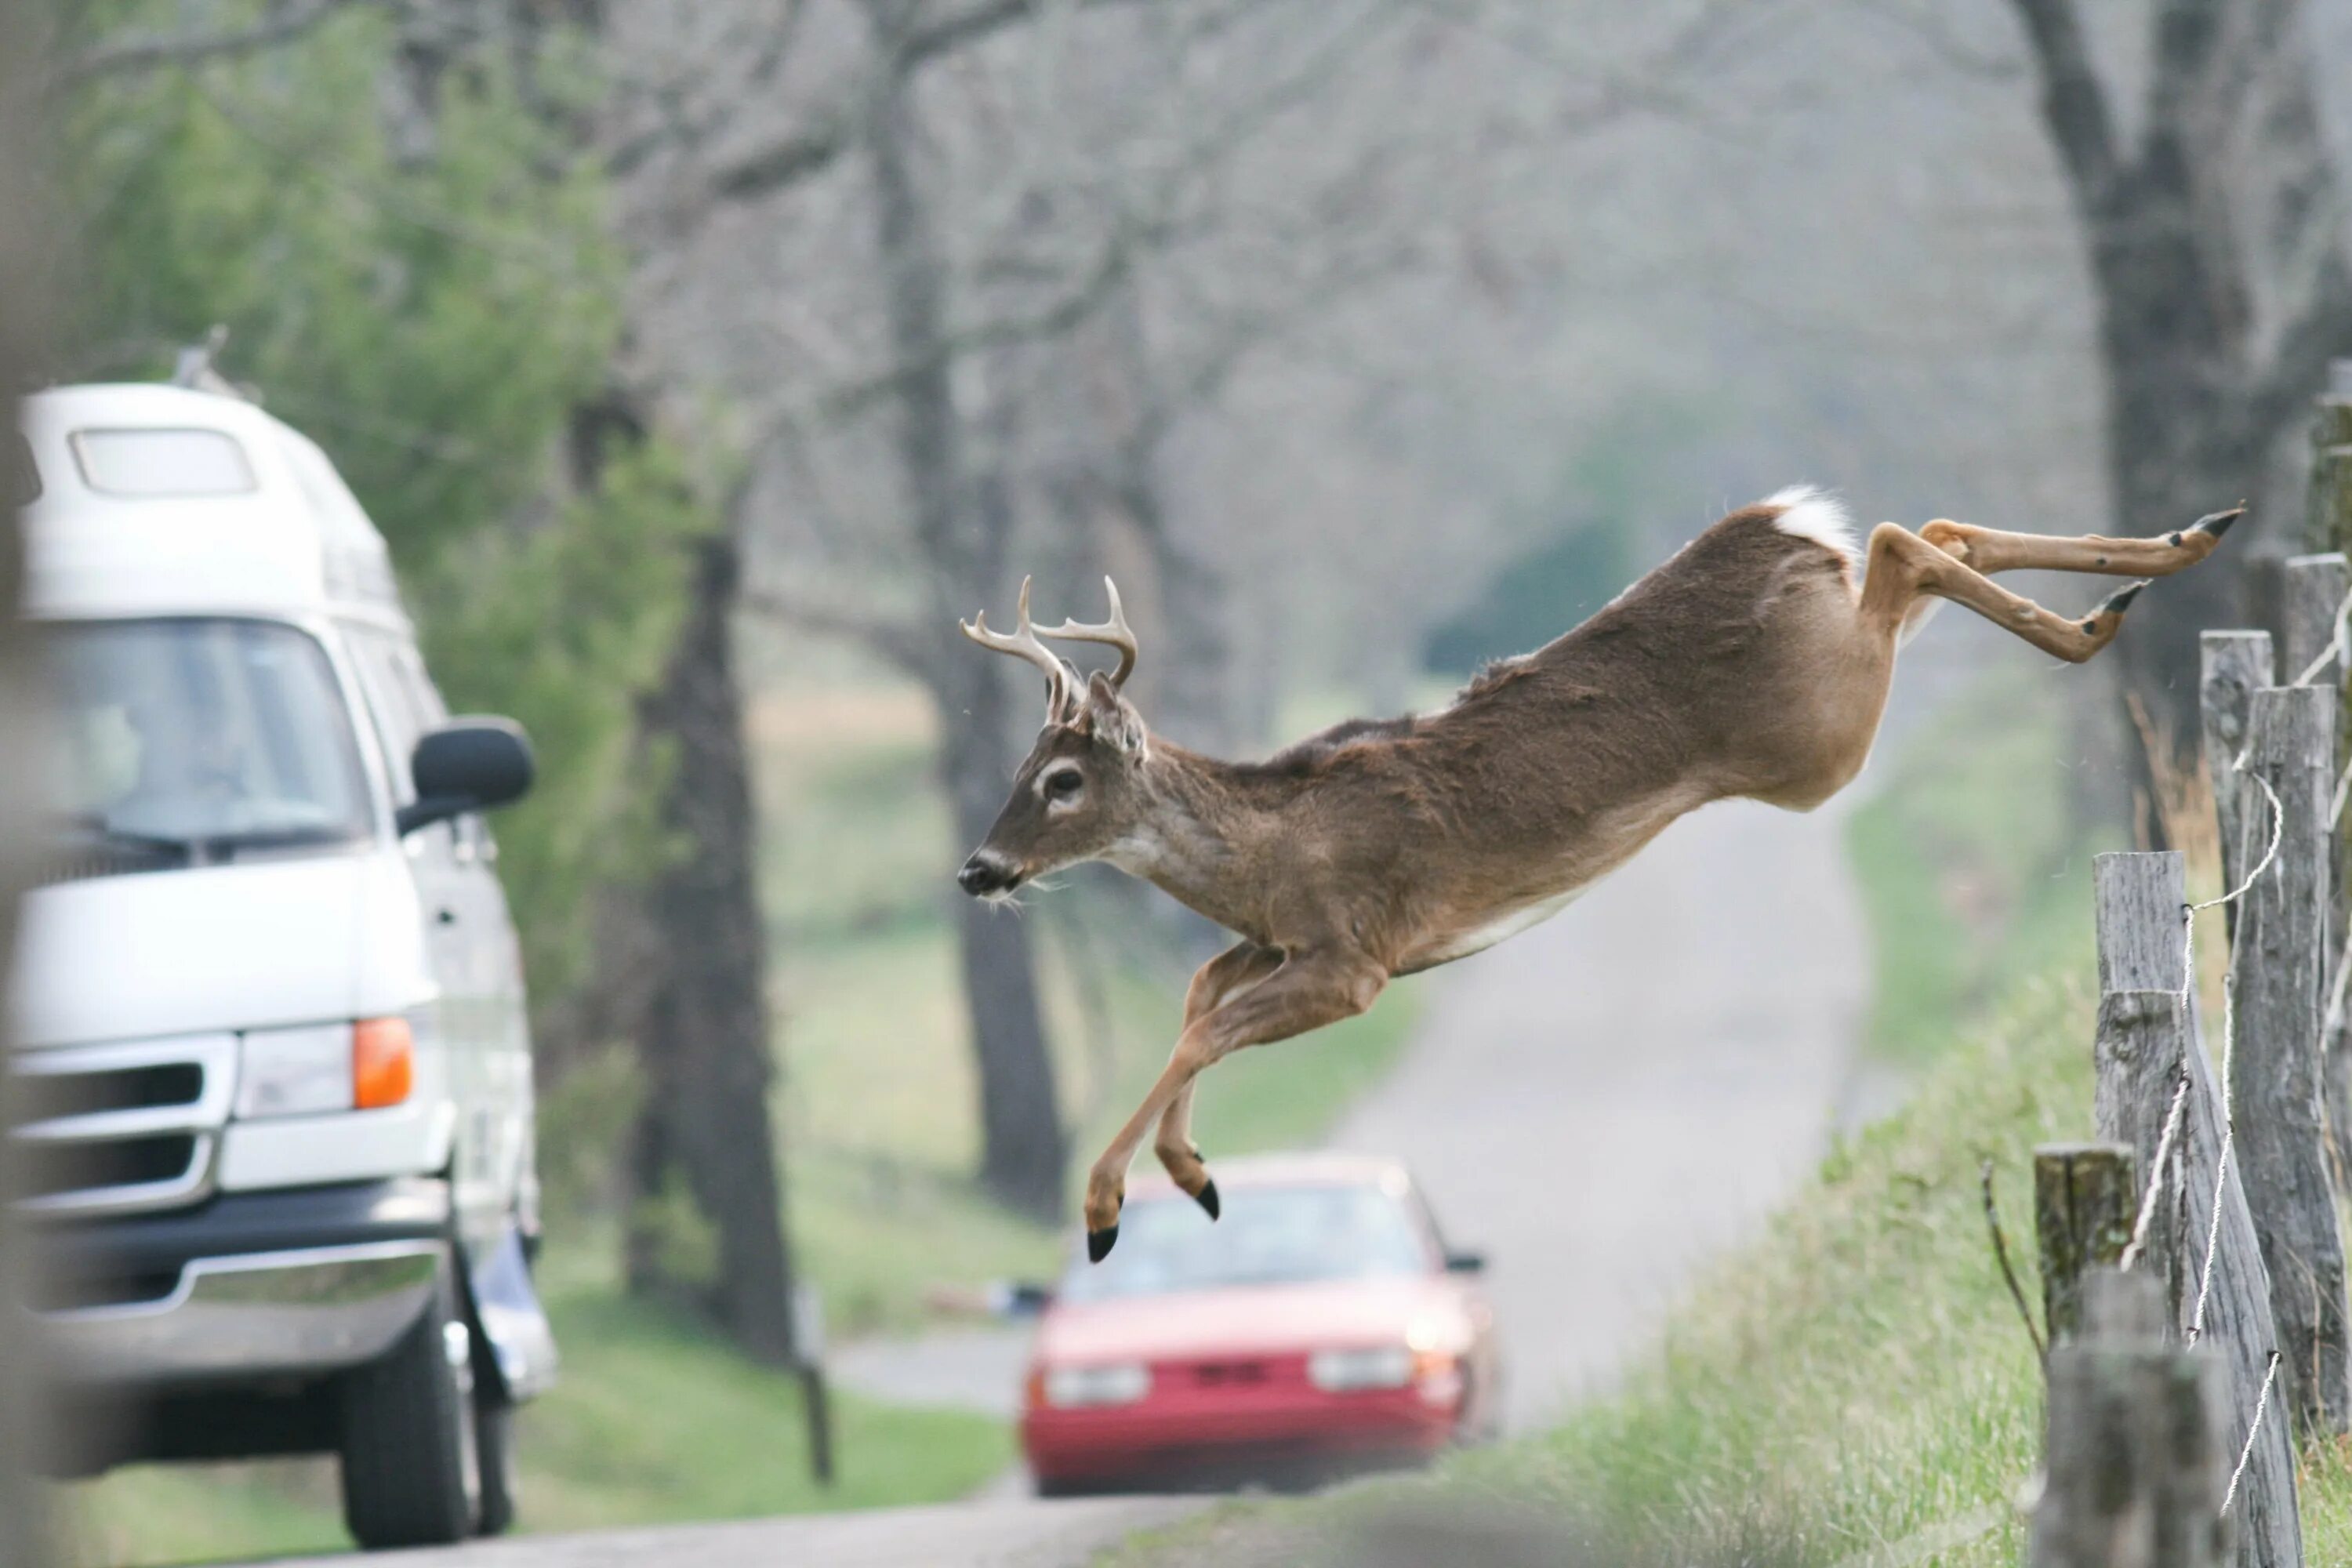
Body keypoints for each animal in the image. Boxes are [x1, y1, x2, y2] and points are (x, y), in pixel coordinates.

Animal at [955, 491, 2239, 1260]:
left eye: (1061, 779)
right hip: (1837, 690)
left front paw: (1109, 1207)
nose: (979, 868)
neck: (1266, 849)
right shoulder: (1282, 943)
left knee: (1900, 540)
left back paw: (2105, 613)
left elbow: (1202, 1026)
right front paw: (1194, 1171)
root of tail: (1776, 525)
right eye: (1017, 767)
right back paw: (2174, 550)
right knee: (1930, 530)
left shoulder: (1355, 959)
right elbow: (1197, 998)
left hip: (1822, 737)